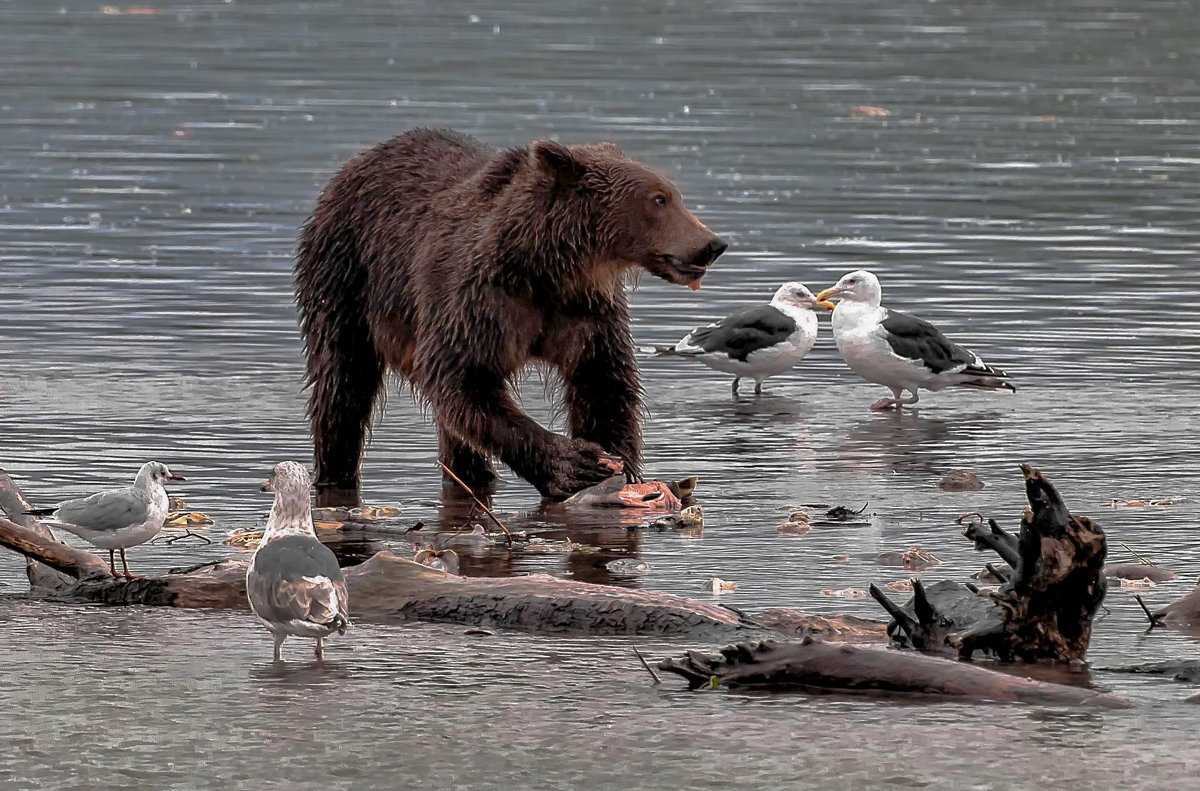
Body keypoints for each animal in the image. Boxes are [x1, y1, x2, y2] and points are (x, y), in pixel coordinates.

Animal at [295, 126, 724, 504]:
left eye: (672, 195)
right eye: (659, 199)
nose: (712, 244)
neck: (548, 269)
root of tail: (357, 162)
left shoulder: (588, 314)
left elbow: (603, 385)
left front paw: (620, 465)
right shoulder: (477, 301)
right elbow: (466, 380)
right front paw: (574, 464)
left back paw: (471, 473)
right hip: (345, 271)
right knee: (343, 383)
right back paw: (335, 471)